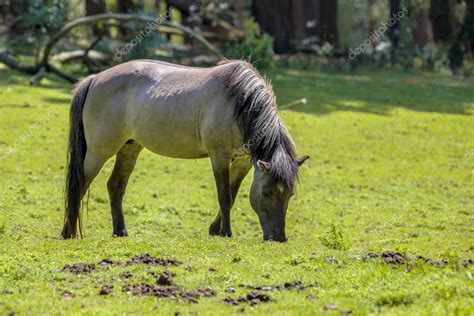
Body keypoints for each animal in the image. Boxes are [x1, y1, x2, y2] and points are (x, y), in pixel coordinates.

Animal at [61, 59, 310, 242]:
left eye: (290, 194)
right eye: (267, 193)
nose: (279, 238)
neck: (239, 104)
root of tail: (94, 79)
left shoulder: (244, 161)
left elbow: (232, 192)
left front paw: (215, 228)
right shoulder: (219, 156)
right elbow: (225, 196)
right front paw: (225, 232)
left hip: (129, 148)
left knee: (115, 186)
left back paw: (120, 231)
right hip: (99, 151)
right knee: (79, 185)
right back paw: (69, 232)